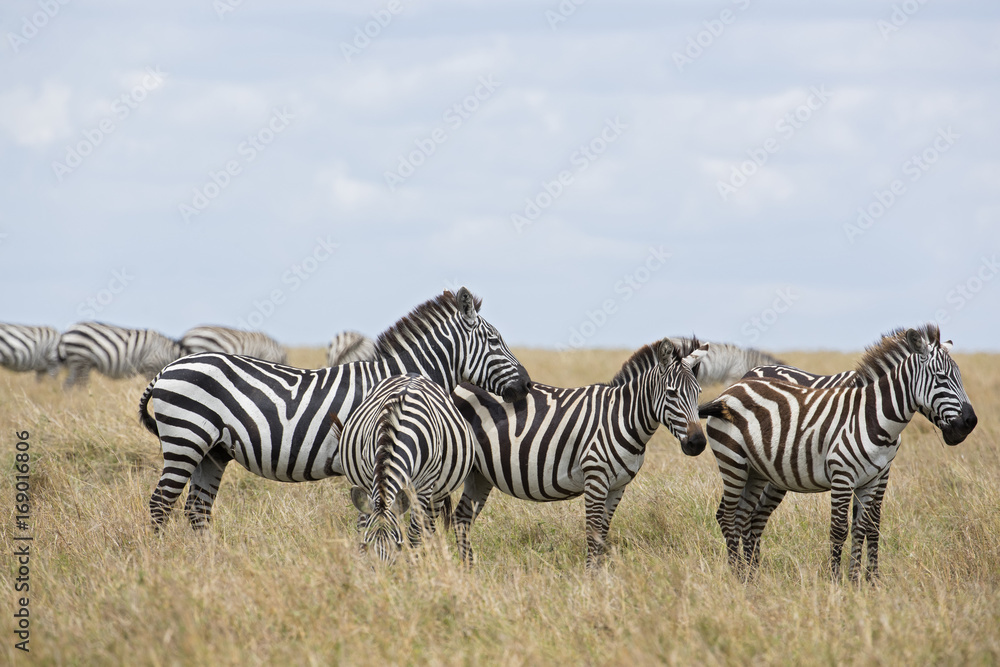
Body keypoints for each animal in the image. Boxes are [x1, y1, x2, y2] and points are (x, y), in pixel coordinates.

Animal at [138, 288, 531, 530]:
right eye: (495, 341)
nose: (526, 385)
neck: (399, 378)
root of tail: (169, 367)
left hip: (214, 451)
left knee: (196, 510)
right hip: (186, 440)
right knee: (160, 505)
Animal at [337, 373, 475, 565]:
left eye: (398, 545)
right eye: (367, 543)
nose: (380, 571)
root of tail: (412, 375)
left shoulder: (424, 488)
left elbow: (415, 534)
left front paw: (413, 565)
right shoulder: (368, 480)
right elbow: (365, 524)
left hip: (437, 495)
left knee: (428, 528)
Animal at [452, 337, 710, 568]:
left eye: (698, 392)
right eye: (672, 393)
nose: (697, 443)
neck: (621, 417)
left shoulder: (618, 486)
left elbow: (603, 534)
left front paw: (600, 577)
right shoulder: (595, 477)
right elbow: (593, 534)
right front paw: (590, 580)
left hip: (480, 473)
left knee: (461, 519)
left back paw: (467, 571)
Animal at [699, 325, 978, 582]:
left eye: (959, 377)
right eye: (941, 377)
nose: (970, 422)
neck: (873, 416)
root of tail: (736, 385)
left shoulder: (875, 477)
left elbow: (865, 527)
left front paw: (862, 581)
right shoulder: (842, 476)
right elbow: (839, 529)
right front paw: (837, 581)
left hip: (756, 471)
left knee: (745, 516)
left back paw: (750, 576)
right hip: (732, 461)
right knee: (727, 516)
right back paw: (737, 575)